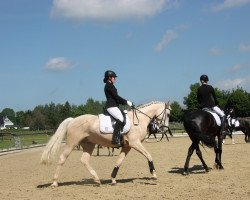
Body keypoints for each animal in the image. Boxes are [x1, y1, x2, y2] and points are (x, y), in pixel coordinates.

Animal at [40, 101, 171, 186]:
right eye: (168, 114)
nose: (164, 129)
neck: (138, 120)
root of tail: (73, 120)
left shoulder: (127, 146)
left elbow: (119, 161)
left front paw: (113, 179)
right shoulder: (135, 143)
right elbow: (148, 155)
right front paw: (154, 174)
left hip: (89, 145)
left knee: (84, 160)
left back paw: (97, 180)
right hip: (72, 143)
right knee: (62, 158)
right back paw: (55, 182)